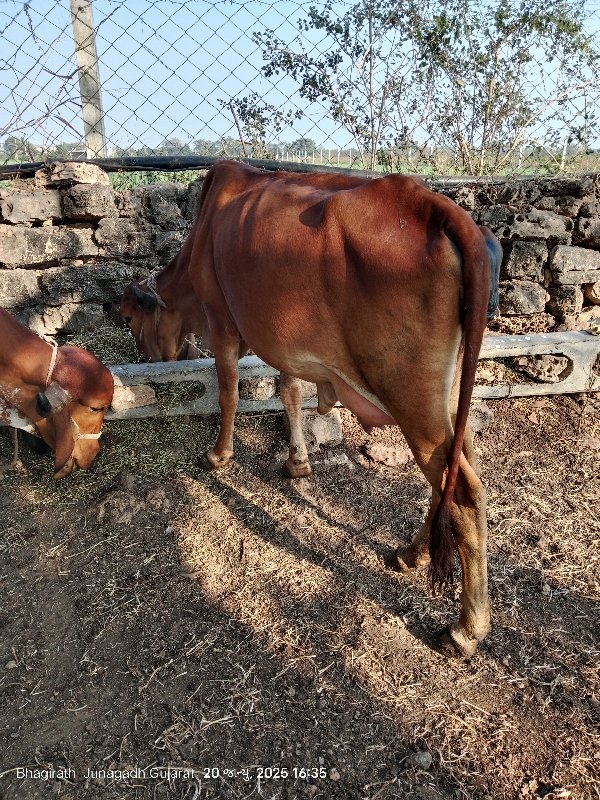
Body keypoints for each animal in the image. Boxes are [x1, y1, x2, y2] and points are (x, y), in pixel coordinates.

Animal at [126, 162, 502, 656]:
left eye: (130, 320)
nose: (146, 358)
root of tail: (438, 208)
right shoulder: (281, 341)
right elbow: (288, 392)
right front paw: (297, 461)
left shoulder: (223, 322)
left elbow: (228, 390)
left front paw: (219, 455)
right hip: (448, 395)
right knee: (454, 474)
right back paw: (408, 555)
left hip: (411, 397)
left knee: (463, 494)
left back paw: (466, 629)